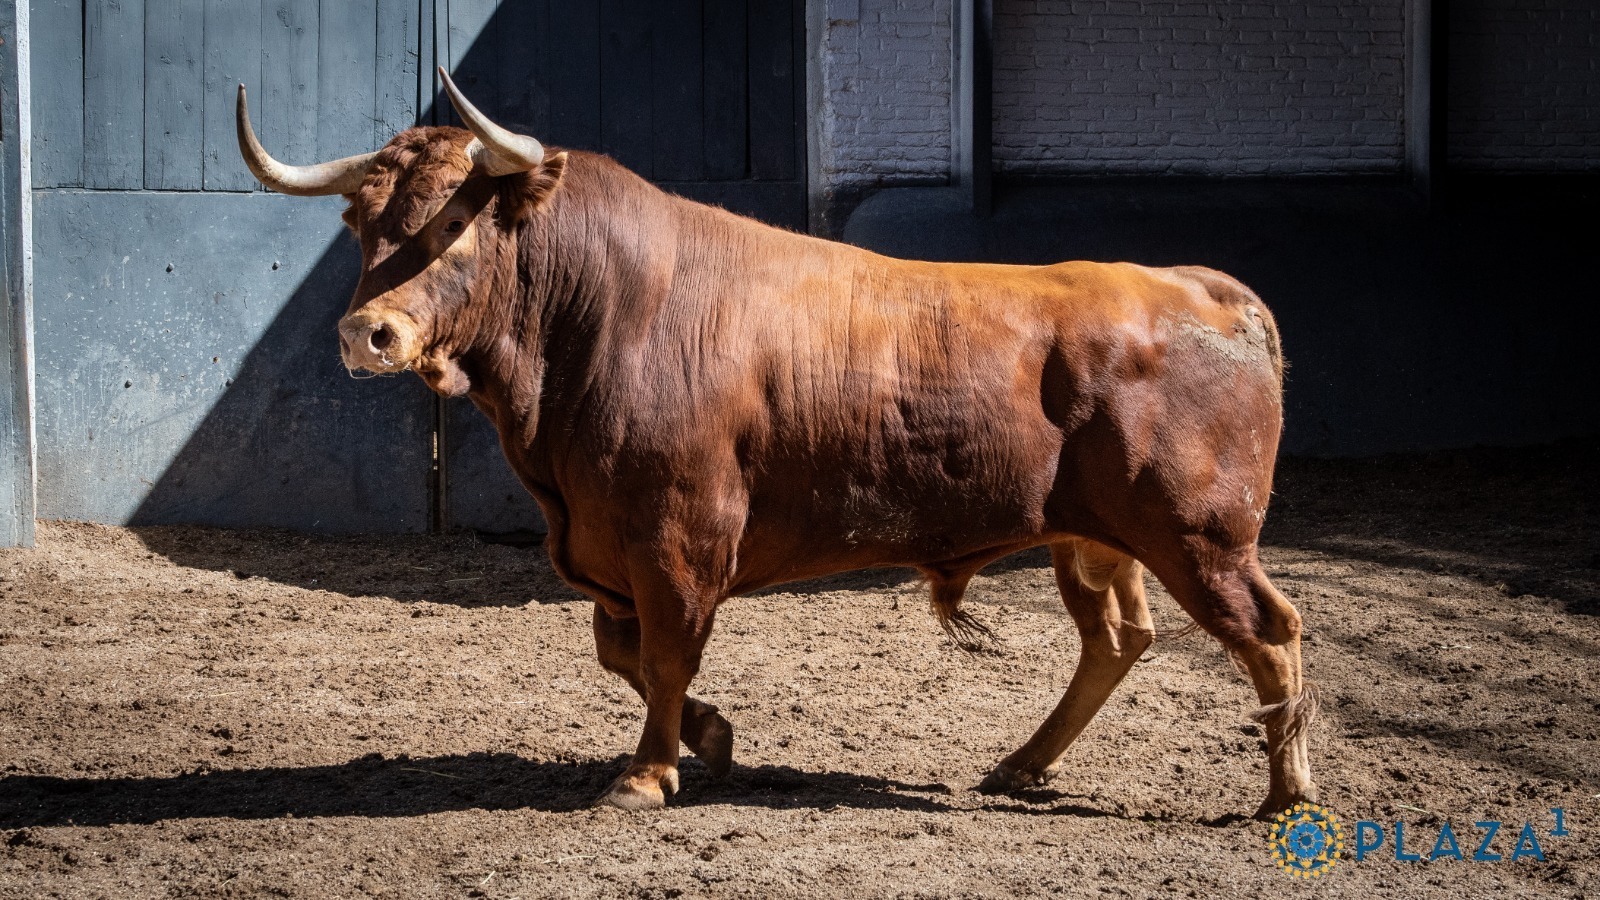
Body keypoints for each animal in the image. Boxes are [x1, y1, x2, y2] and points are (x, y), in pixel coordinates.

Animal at [236, 68, 1319, 818]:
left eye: (456, 224)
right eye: (360, 222)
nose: (366, 335)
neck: (602, 315)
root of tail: (1195, 286)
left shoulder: (678, 536)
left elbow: (664, 652)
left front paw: (646, 774)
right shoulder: (607, 545)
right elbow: (622, 653)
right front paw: (710, 740)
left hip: (1199, 538)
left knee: (1269, 634)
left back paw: (1287, 792)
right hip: (1096, 541)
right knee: (1119, 638)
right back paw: (1023, 764)